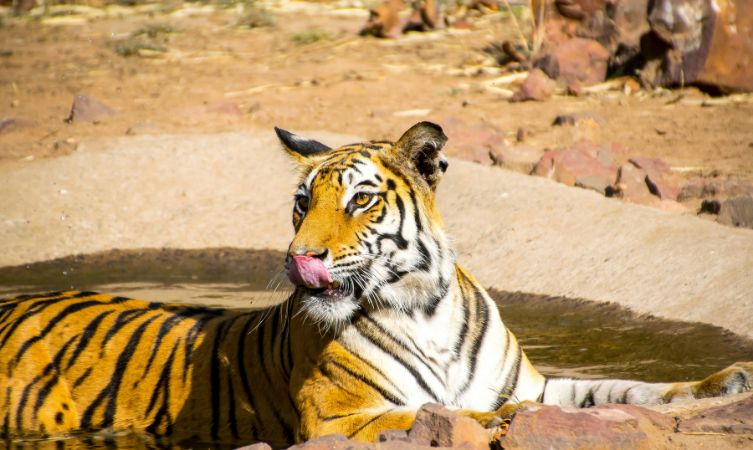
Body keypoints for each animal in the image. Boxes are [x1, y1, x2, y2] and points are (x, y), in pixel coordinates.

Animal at [1, 121, 751, 448]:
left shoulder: (536, 385)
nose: (298, 257)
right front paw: (492, 423)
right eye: (302, 203)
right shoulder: (336, 418)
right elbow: (434, 414)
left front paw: (724, 381)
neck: (425, 308)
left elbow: (622, 391)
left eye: (359, 200)